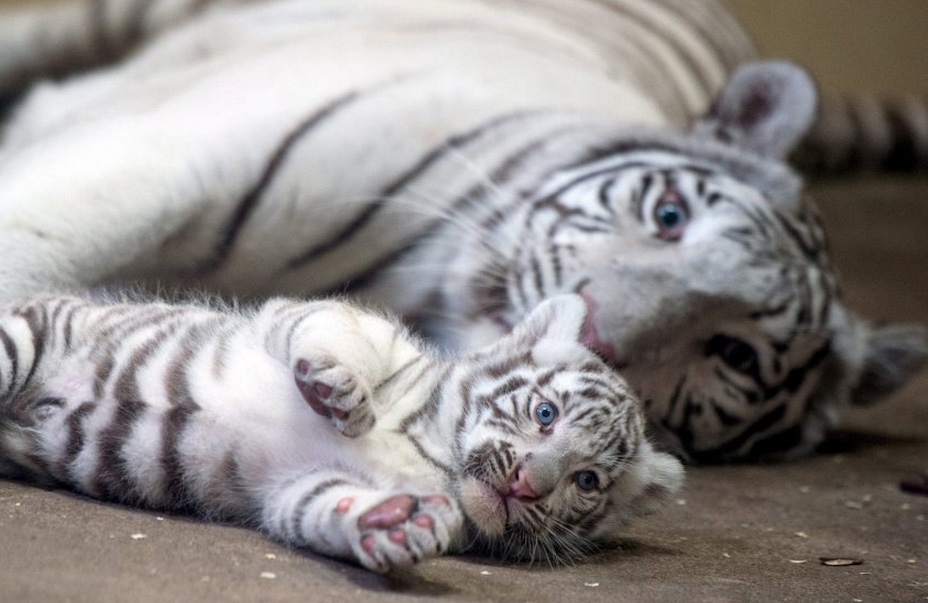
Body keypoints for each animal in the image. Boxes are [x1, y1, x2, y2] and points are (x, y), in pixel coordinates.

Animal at [0, 0, 924, 463]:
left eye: (732, 353)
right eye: (670, 217)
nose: (598, 333)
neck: (403, 284)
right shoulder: (172, 148)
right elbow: (32, 235)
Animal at [0, 292, 683, 571]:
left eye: (587, 481)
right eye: (545, 414)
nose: (526, 484)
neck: (431, 457)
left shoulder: (294, 485)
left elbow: (327, 506)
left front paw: (393, 525)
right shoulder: (332, 319)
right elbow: (342, 338)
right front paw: (338, 389)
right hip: (26, 338)